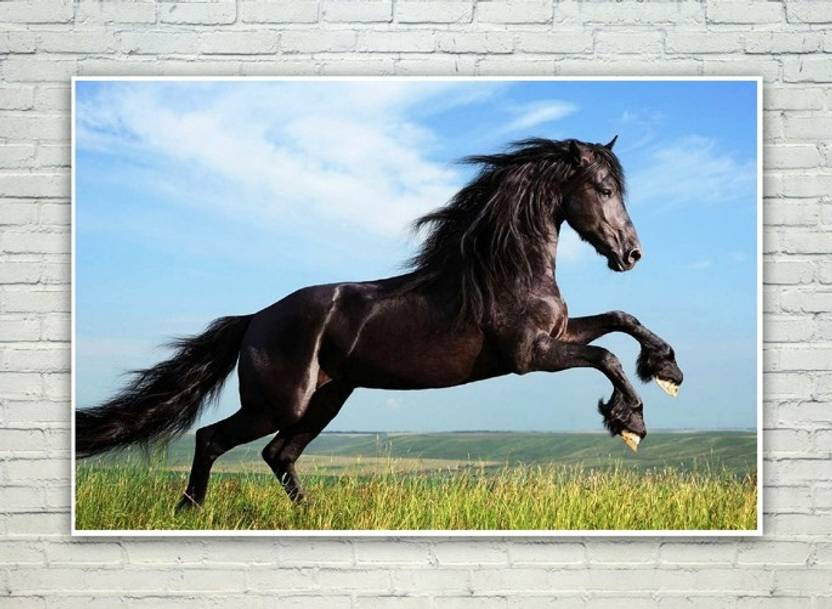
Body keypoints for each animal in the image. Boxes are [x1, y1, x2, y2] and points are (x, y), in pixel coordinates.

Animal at [76, 136, 684, 510]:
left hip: (327, 398)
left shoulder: (557, 335)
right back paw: (190, 509)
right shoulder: (531, 355)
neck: (505, 269)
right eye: (604, 190)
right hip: (279, 403)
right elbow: (606, 355)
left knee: (279, 455)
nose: (631, 254)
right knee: (212, 438)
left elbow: (620, 320)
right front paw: (630, 421)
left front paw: (667, 370)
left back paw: (309, 515)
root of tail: (254, 320)